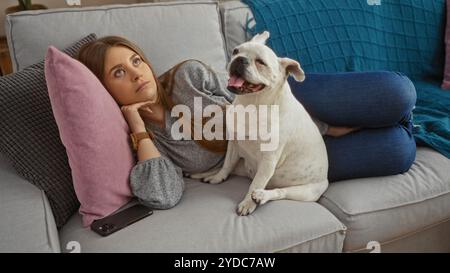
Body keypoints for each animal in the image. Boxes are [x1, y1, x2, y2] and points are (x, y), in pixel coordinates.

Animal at [192, 31, 328, 215]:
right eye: (235, 51)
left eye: (261, 62)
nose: (240, 59)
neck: (252, 104)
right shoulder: (234, 143)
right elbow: (227, 164)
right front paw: (218, 177)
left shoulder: (268, 160)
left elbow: (255, 184)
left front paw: (247, 203)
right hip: (244, 165)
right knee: (233, 168)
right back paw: (205, 174)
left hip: (304, 192)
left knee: (278, 191)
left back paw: (261, 196)